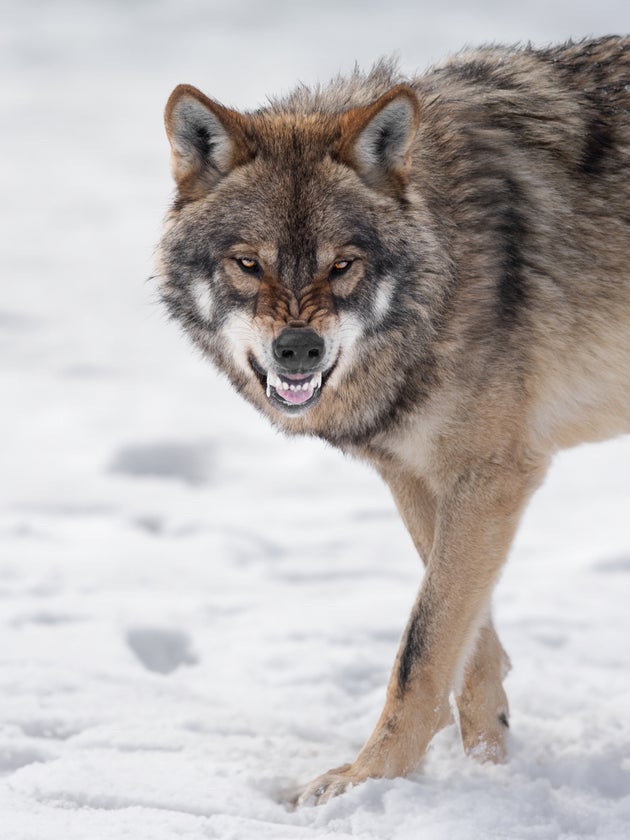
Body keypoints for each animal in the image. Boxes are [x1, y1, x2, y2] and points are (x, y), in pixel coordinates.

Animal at [155, 36, 630, 804]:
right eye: (249, 264)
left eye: (343, 264)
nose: (298, 348)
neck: (449, 269)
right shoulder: (416, 477)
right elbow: (466, 645)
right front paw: (488, 770)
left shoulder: (493, 476)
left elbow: (421, 647)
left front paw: (365, 780)